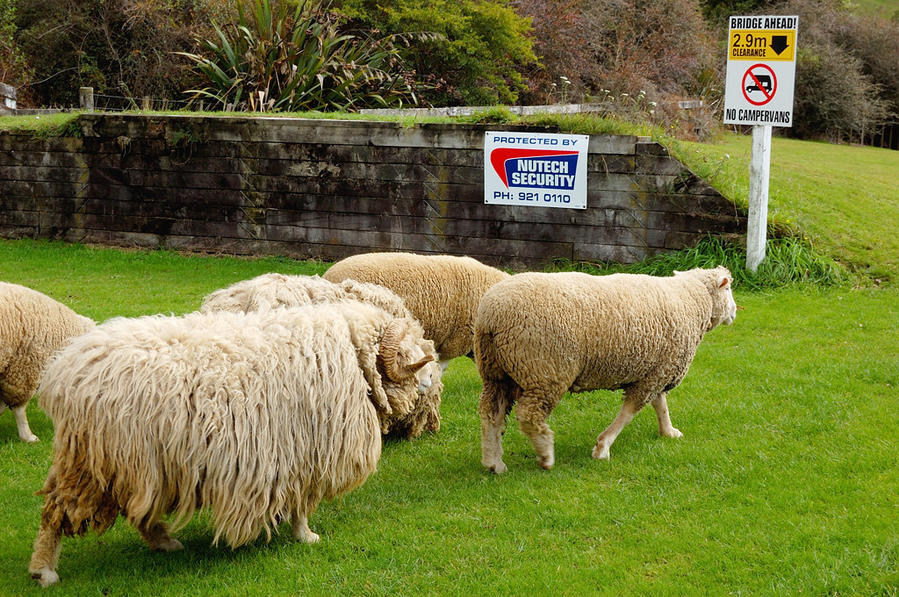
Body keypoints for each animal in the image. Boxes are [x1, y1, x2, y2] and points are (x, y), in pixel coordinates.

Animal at [28, 300, 436, 584]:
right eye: (409, 354)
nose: (430, 381)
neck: (351, 354)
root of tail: (66, 370)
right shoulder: (304, 452)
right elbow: (303, 502)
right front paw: (306, 536)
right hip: (97, 460)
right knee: (55, 512)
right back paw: (44, 571)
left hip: (130, 463)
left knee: (135, 509)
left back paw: (164, 542)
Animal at [474, 266, 736, 470]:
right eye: (728, 290)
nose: (734, 312)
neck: (691, 299)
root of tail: (491, 316)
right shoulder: (656, 372)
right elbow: (629, 412)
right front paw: (603, 447)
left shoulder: (658, 368)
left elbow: (660, 404)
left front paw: (668, 431)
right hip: (545, 370)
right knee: (529, 416)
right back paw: (545, 455)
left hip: (497, 371)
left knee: (491, 414)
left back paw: (494, 462)